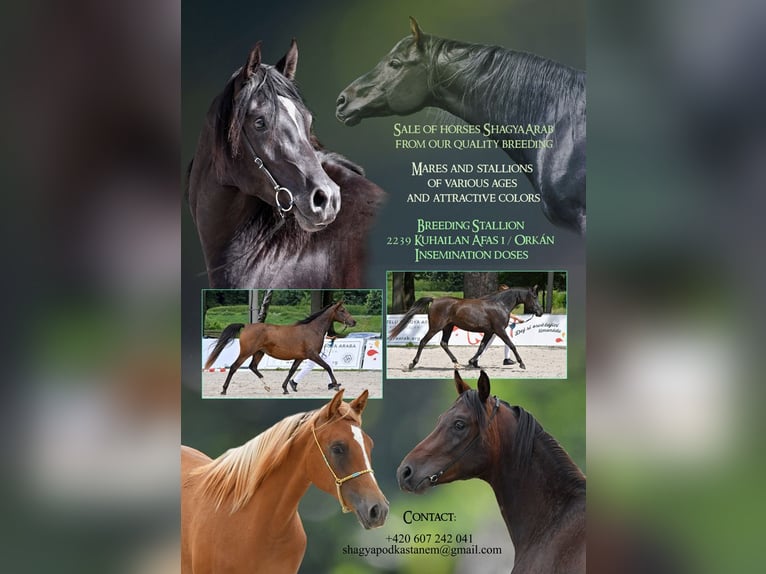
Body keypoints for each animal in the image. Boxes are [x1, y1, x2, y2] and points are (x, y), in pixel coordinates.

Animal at [204, 301, 356, 395]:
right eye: (342, 310)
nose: (353, 322)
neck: (312, 330)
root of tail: (246, 326)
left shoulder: (300, 358)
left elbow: (291, 371)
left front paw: (286, 388)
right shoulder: (313, 355)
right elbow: (328, 367)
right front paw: (335, 385)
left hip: (259, 353)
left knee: (253, 367)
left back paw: (267, 386)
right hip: (246, 352)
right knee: (234, 367)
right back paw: (224, 390)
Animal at [388, 286, 543, 370]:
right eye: (534, 297)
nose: (540, 312)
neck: (500, 304)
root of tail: (435, 299)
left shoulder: (489, 332)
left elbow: (481, 347)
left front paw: (473, 362)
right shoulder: (499, 330)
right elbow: (512, 345)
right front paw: (522, 364)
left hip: (448, 327)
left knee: (444, 343)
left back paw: (457, 363)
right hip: (435, 327)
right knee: (423, 342)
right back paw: (412, 364)